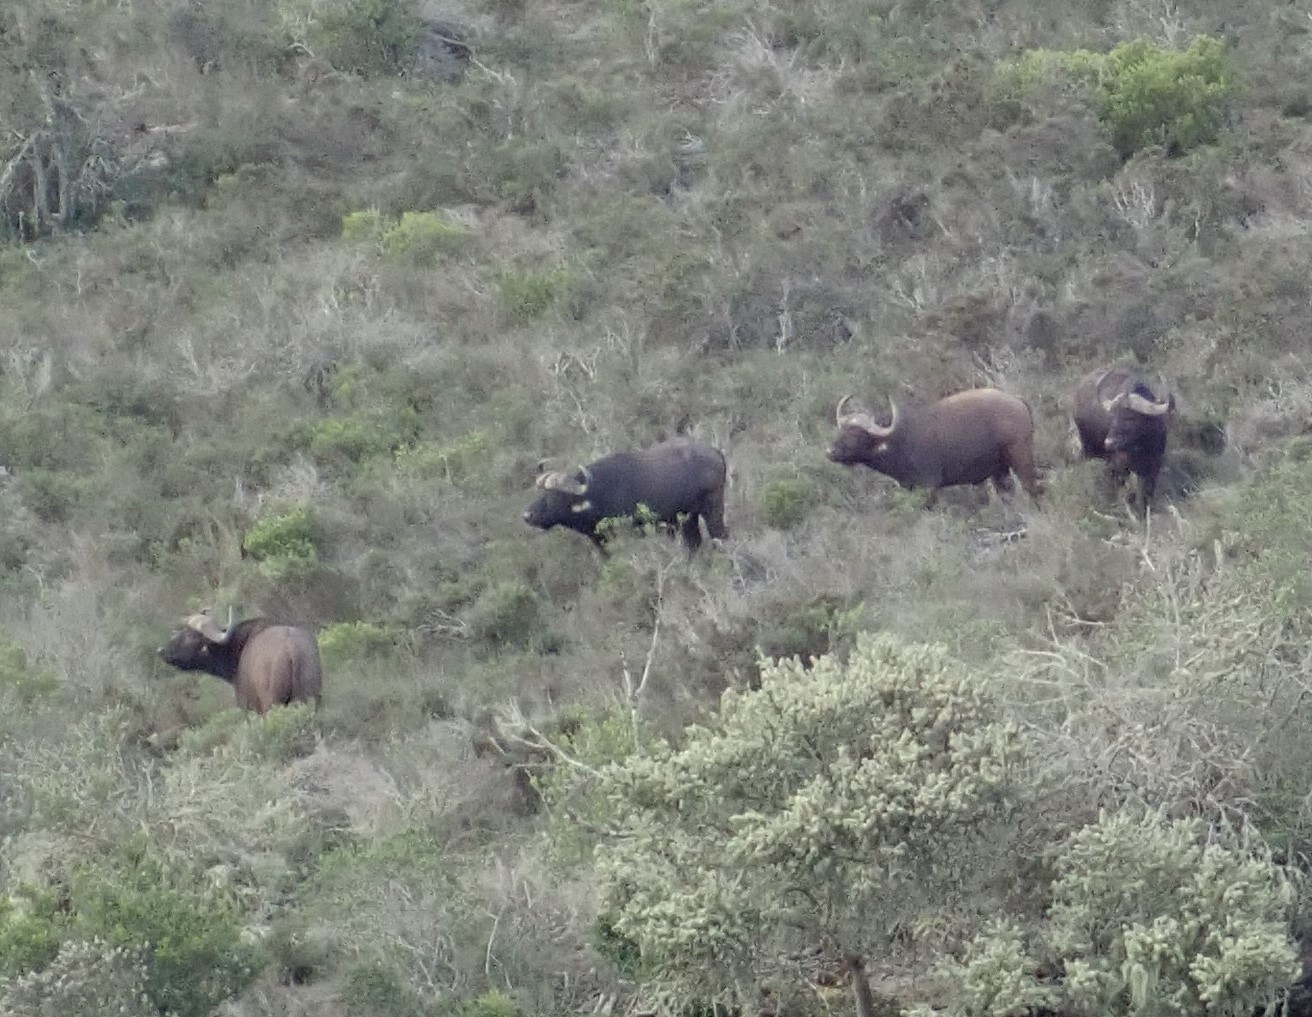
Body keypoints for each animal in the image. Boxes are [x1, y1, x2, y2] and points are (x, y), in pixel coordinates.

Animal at [159, 608, 323, 714]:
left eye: (190, 635)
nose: (161, 651)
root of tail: (292, 649)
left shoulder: (248, 707)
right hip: (311, 697)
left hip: (273, 703)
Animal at [524, 438, 728, 553]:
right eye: (542, 494)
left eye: (555, 497)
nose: (527, 515)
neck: (598, 495)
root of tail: (715, 453)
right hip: (688, 518)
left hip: (713, 508)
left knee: (720, 536)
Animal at [828, 388, 1041, 505]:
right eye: (842, 431)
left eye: (857, 436)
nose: (831, 452)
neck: (900, 441)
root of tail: (1017, 401)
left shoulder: (928, 488)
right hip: (999, 470)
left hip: (1021, 456)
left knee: (1032, 488)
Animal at [1071, 365, 1174, 513]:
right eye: (1113, 417)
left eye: (1129, 418)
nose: (1109, 443)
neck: (1141, 446)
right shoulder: (1120, 465)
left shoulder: (1153, 466)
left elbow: (1146, 493)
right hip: (1087, 446)